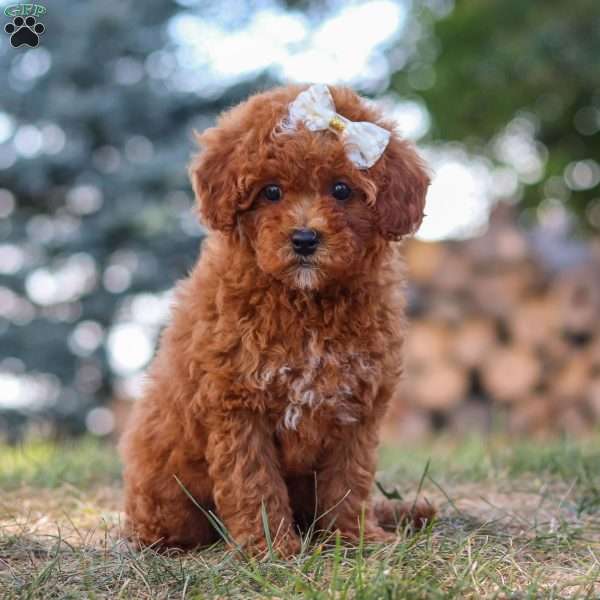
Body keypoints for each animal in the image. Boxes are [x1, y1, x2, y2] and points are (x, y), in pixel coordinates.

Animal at [119, 82, 434, 556]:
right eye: (270, 192)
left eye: (341, 189)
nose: (304, 238)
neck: (305, 302)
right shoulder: (237, 404)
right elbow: (254, 480)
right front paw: (270, 548)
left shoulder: (356, 409)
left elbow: (349, 479)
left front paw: (354, 536)